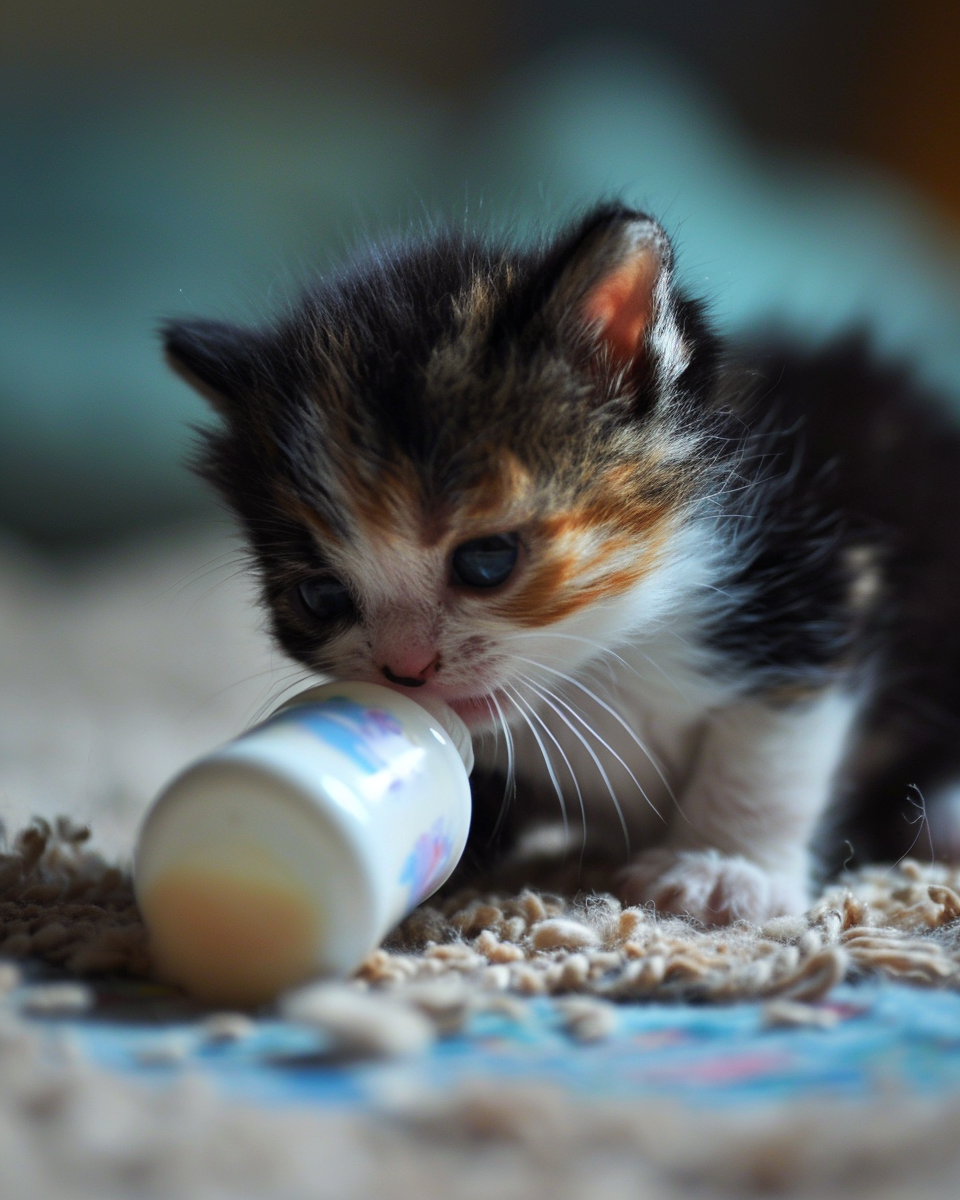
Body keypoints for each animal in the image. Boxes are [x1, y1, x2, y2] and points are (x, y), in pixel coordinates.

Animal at [160, 204, 960, 926]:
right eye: (322, 597)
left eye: (486, 560)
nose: (405, 670)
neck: (598, 663)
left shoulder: (811, 575)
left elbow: (770, 742)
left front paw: (724, 869)